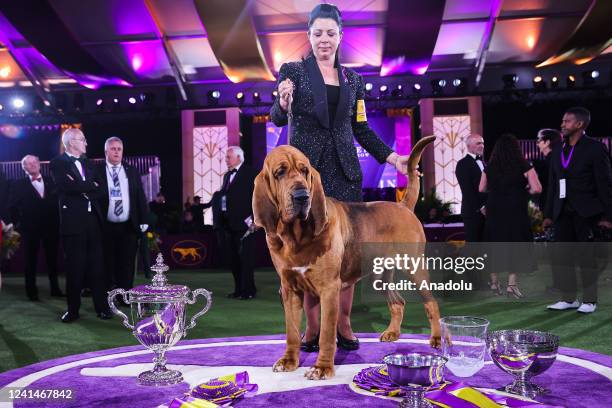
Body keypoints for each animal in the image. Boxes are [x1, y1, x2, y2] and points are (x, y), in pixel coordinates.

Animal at [253, 136, 440, 380]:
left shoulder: (329, 289)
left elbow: (326, 334)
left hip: (414, 268)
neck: (297, 236)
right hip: (380, 277)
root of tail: (403, 206)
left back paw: (437, 339)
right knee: (398, 302)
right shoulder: (289, 289)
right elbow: (292, 332)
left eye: (304, 171)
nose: (302, 196)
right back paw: (392, 333)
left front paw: (322, 368)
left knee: (431, 303)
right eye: (280, 172)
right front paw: (289, 361)